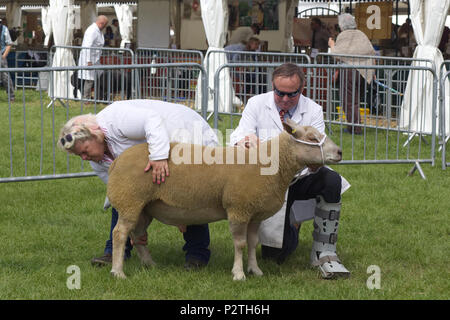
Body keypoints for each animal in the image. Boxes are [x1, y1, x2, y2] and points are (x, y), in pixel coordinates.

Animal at [106, 119, 342, 280]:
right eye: (311, 138)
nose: (339, 152)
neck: (268, 164)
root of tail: (117, 160)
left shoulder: (254, 213)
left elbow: (253, 243)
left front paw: (255, 270)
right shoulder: (238, 208)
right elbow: (240, 243)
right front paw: (238, 274)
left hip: (145, 207)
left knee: (138, 235)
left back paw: (149, 264)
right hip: (130, 199)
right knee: (120, 234)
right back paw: (118, 272)